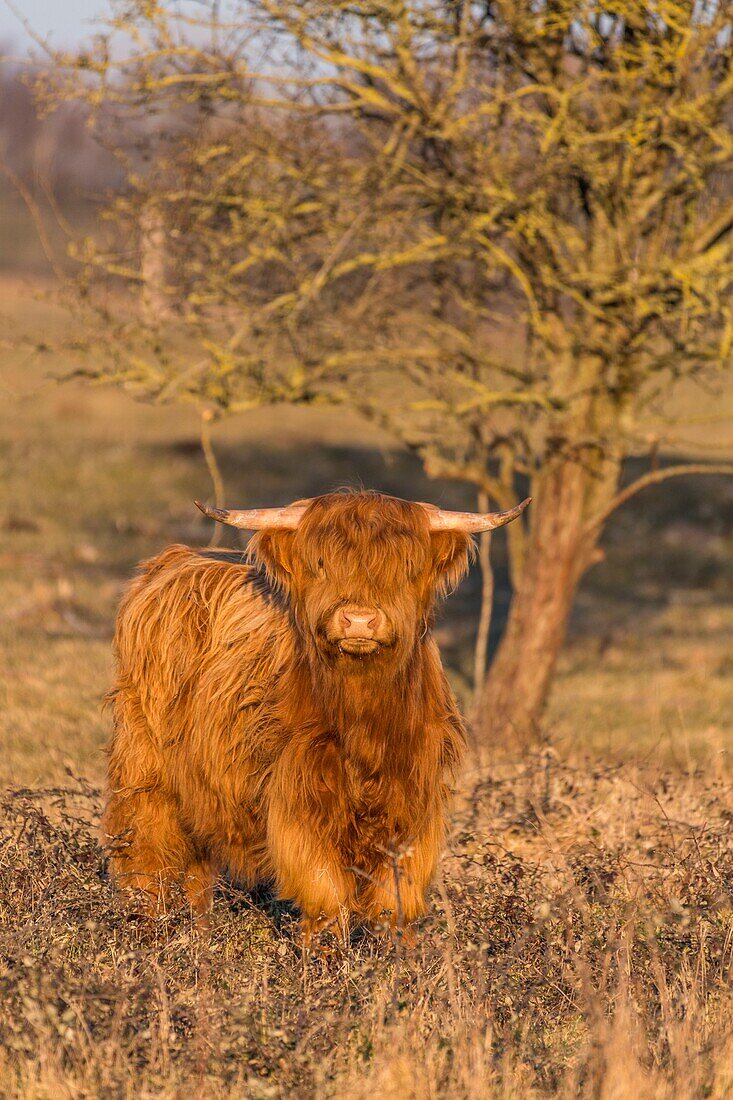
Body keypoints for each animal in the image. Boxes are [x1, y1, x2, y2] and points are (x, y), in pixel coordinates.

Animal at [104, 495, 526, 941]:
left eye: (406, 565)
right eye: (322, 563)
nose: (359, 620)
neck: (364, 720)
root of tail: (173, 559)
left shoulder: (413, 800)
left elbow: (394, 900)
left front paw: (398, 955)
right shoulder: (301, 797)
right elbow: (325, 892)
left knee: (197, 872)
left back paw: (199, 935)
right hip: (144, 763)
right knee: (146, 849)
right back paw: (146, 929)